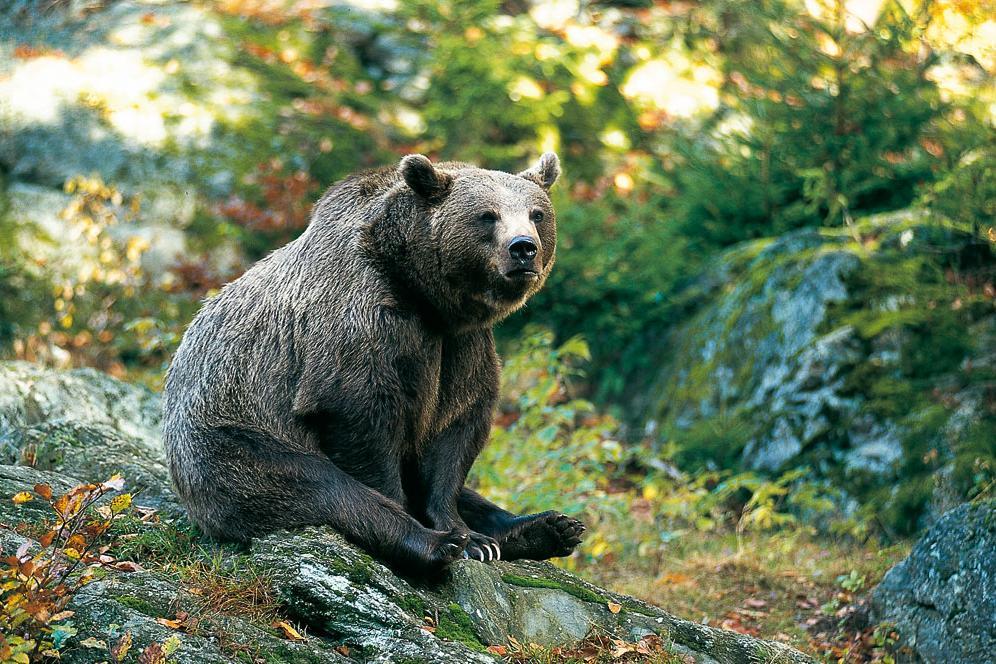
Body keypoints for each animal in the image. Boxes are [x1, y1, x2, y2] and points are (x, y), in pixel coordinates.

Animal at [162, 153, 584, 572]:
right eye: (487, 215)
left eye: (536, 213)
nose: (523, 248)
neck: (419, 292)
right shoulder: (361, 316)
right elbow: (362, 416)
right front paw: (446, 534)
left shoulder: (460, 345)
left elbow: (455, 429)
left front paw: (475, 538)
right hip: (230, 441)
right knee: (316, 487)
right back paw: (434, 545)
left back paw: (548, 527)